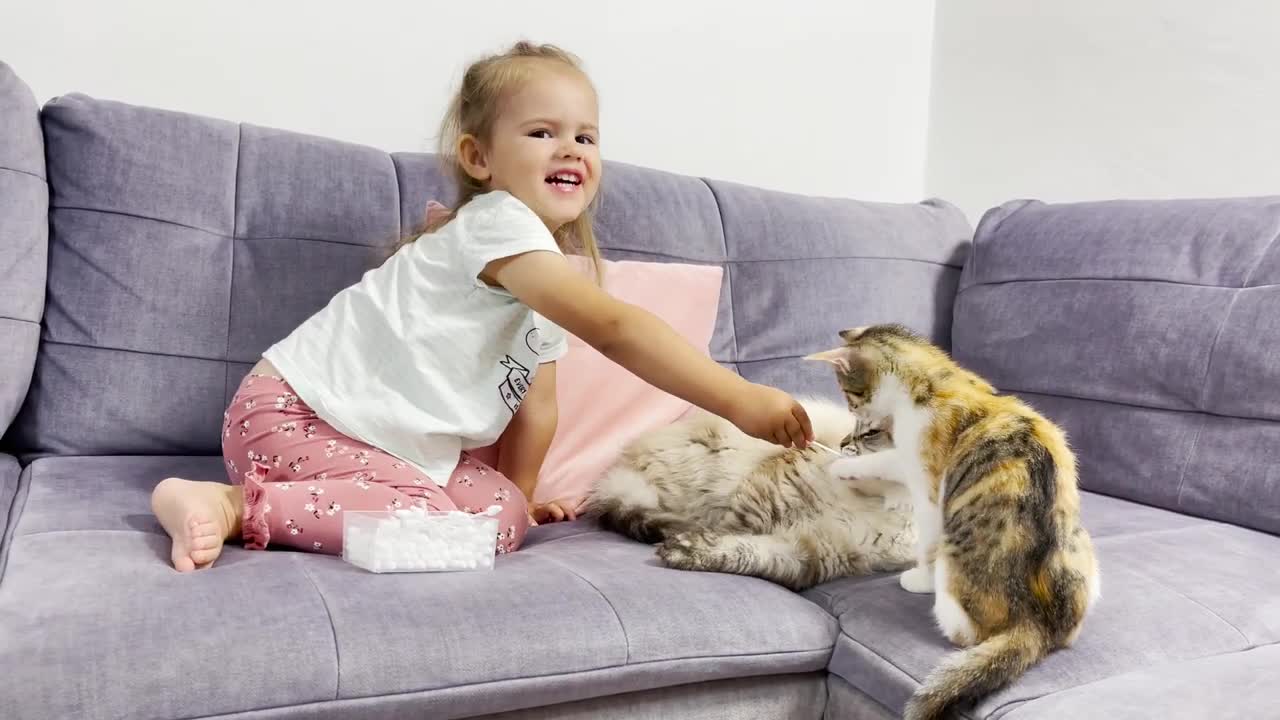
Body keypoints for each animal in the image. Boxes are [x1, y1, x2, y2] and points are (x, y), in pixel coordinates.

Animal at [588, 397, 921, 589]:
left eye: (870, 433)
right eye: (858, 431)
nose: (843, 443)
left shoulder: (817, 551)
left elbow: (748, 552)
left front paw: (689, 549)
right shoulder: (773, 492)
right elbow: (737, 531)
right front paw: (692, 545)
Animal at [808, 325, 1100, 717]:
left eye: (848, 394)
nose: (850, 415)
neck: (937, 381)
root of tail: (1038, 626)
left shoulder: (927, 480)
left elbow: (901, 487)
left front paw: (843, 465)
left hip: (954, 565)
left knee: (964, 629)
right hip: (1082, 549)